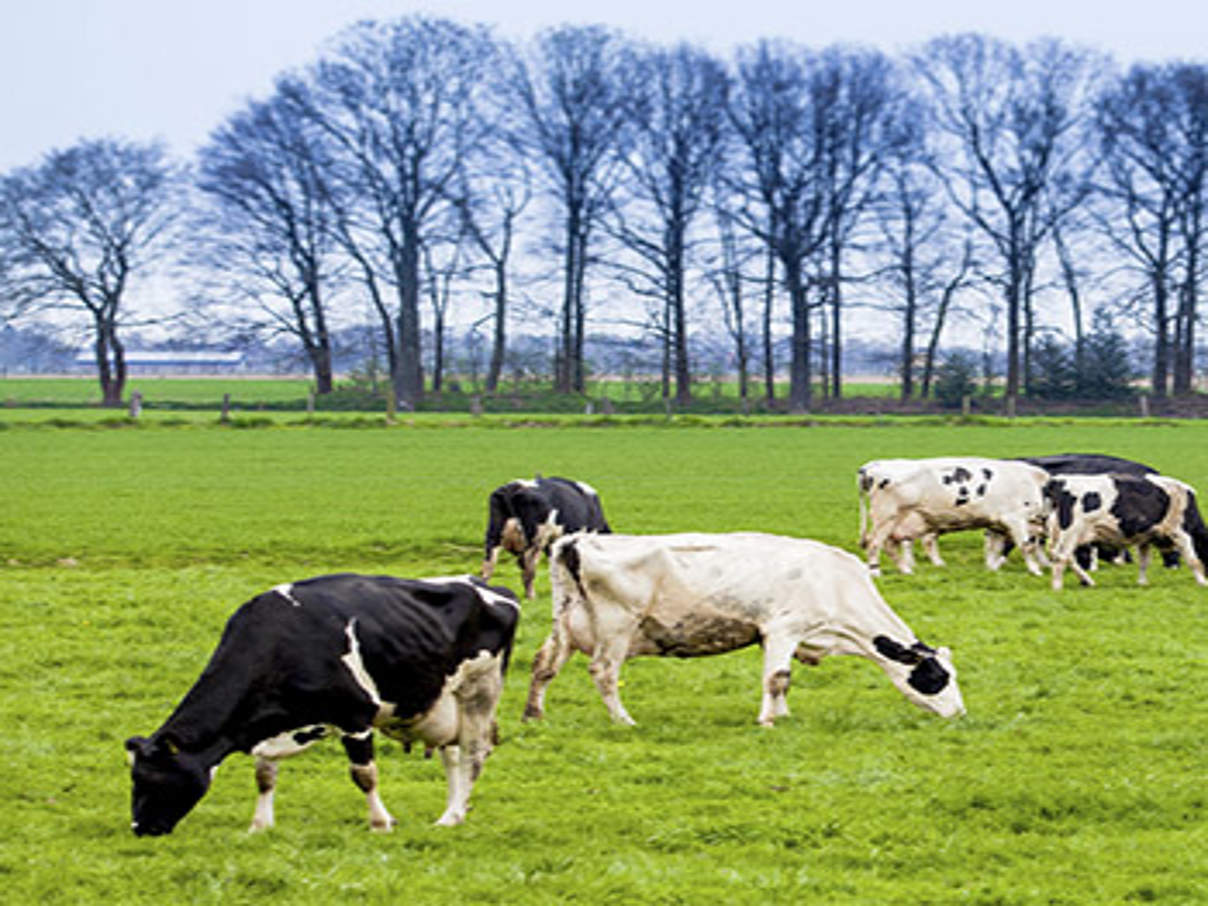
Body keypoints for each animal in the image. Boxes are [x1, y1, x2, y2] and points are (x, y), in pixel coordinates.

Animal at [123, 577, 519, 840]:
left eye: (149, 778)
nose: (140, 829)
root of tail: (492, 588)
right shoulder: (266, 723)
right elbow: (264, 776)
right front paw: (259, 825)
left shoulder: (355, 717)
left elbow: (364, 775)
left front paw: (381, 823)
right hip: (441, 702)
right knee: (451, 756)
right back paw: (454, 811)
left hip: (480, 691)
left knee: (473, 753)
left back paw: (452, 816)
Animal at [483, 475, 613, 604]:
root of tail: (516, 486)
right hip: (536, 539)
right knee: (528, 567)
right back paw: (531, 597)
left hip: (494, 536)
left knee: (488, 565)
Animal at [524, 531, 966, 729]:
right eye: (936, 677)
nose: (960, 714)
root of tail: (575, 540)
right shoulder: (783, 628)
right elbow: (777, 677)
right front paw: (768, 721)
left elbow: (784, 679)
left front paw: (782, 715)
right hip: (616, 629)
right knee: (604, 672)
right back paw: (624, 721)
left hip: (566, 626)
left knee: (543, 664)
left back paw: (534, 714)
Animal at [860, 456, 1048, 577]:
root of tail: (872, 466)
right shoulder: (1015, 519)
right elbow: (1026, 546)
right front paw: (1036, 570)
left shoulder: (997, 524)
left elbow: (995, 548)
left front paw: (992, 568)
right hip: (885, 517)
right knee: (874, 544)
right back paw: (875, 572)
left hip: (897, 522)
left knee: (890, 545)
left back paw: (905, 570)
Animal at [1038, 471, 1208, 591]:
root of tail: (1058, 480)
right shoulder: (1181, 532)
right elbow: (1193, 560)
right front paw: (1203, 582)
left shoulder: (1145, 537)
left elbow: (1144, 562)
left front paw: (1142, 582)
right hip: (1071, 532)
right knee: (1061, 557)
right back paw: (1057, 587)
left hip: (1057, 532)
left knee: (1062, 556)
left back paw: (1087, 581)